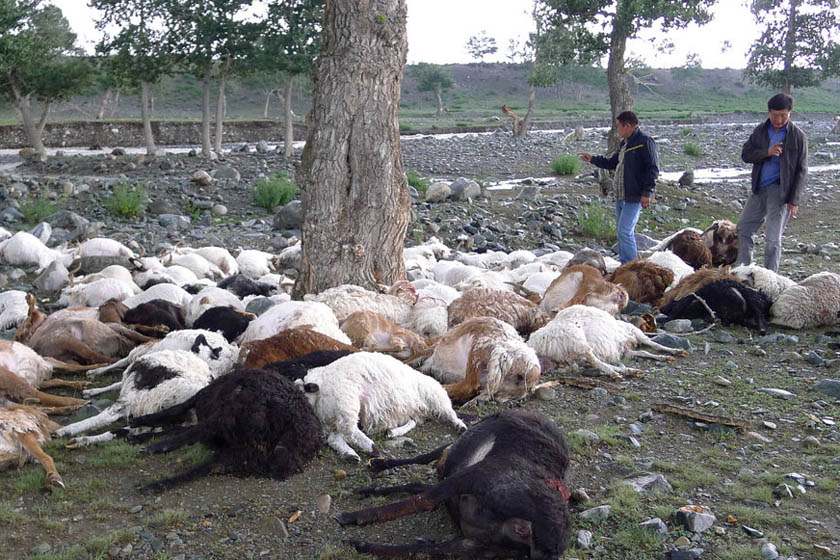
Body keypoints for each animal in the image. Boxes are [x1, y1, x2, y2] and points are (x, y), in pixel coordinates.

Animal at [336, 410, 572, 556]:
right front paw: (372, 487)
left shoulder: (463, 476)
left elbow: (419, 492)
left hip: (472, 478)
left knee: (423, 499)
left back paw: (355, 520)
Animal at [532, 304, 688, 378]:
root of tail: (537, 345)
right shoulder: (635, 334)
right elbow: (653, 344)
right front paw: (674, 352)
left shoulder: (626, 350)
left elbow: (644, 352)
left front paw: (664, 357)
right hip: (576, 339)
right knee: (594, 360)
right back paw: (614, 373)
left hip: (571, 360)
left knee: (591, 363)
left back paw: (630, 371)